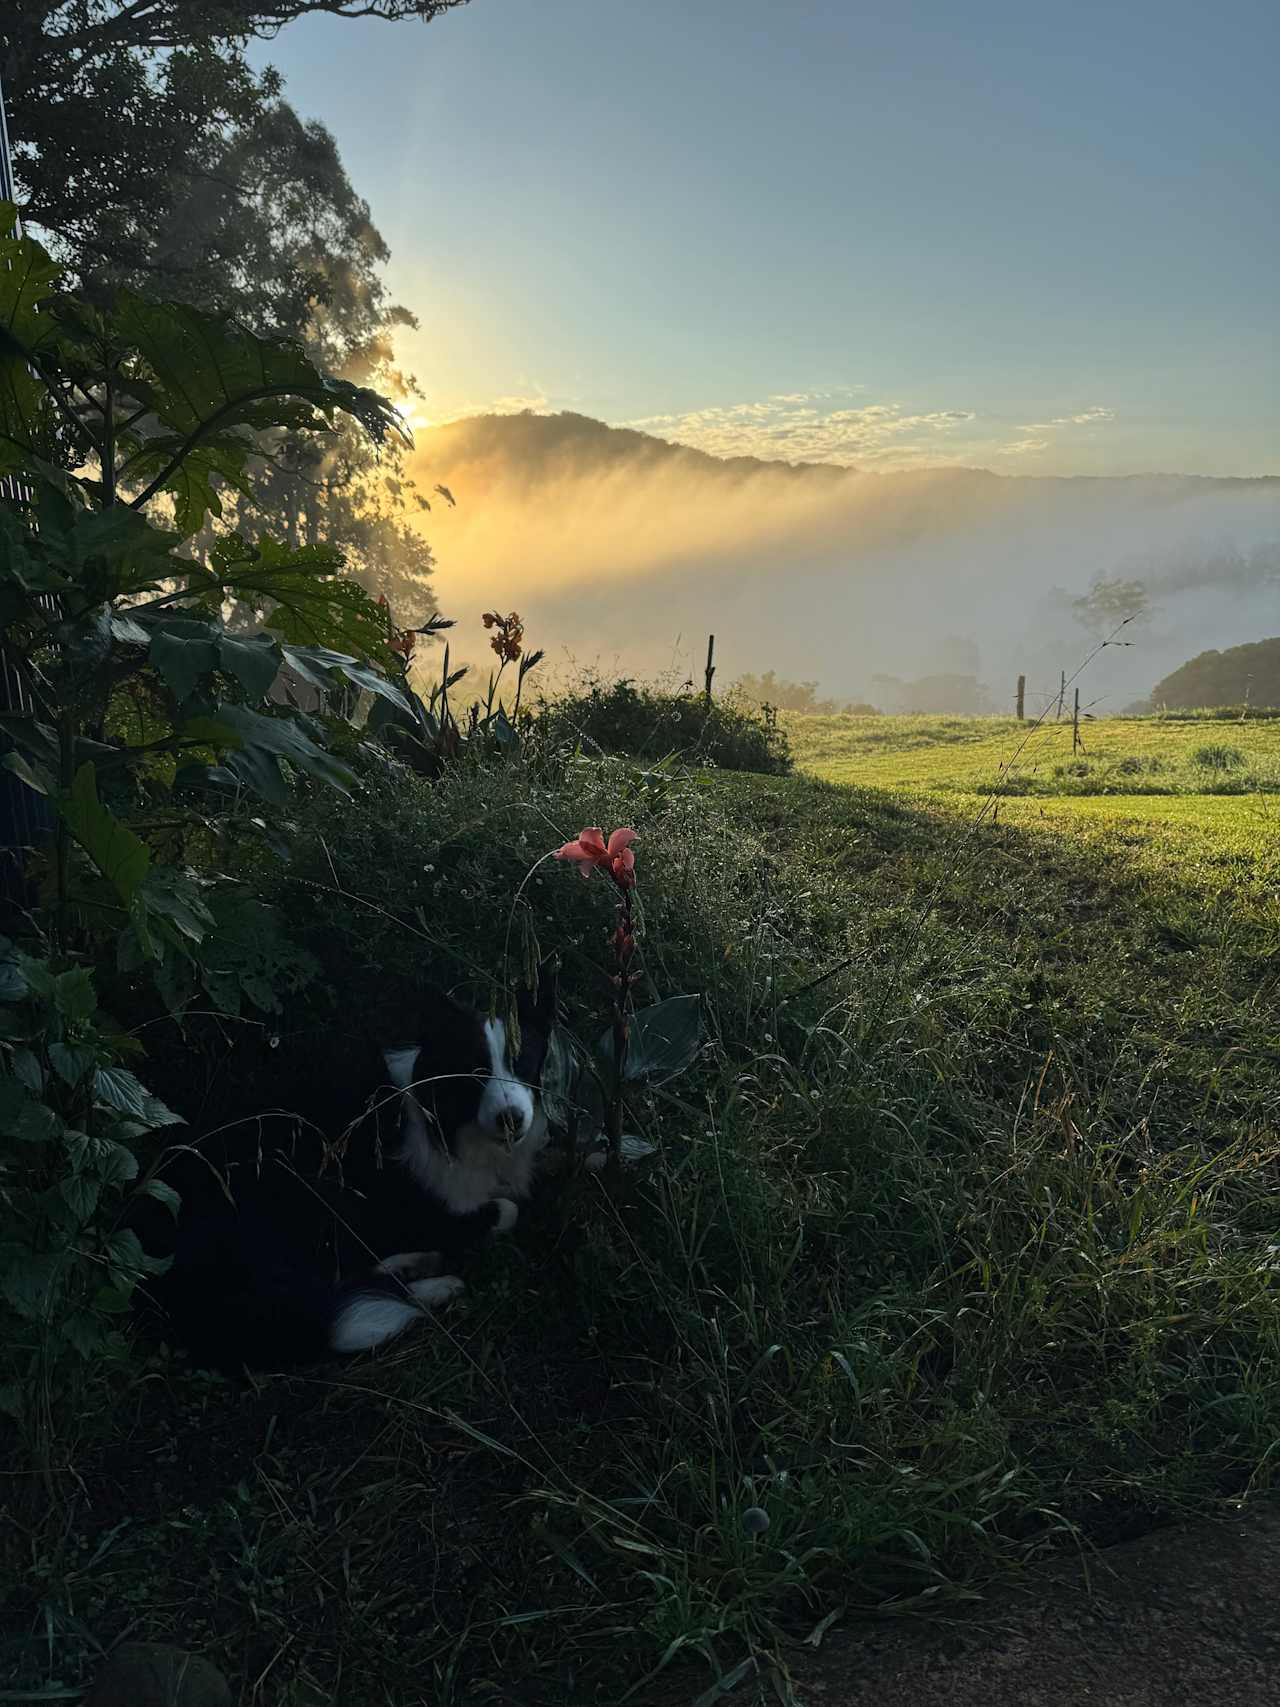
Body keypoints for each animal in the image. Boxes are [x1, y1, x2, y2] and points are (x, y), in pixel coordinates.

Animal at [139, 976, 556, 1372]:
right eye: (475, 1070)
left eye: (522, 1062)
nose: (511, 1119)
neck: (449, 1121)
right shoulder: (423, 1210)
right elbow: (502, 1210)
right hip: (310, 1194)